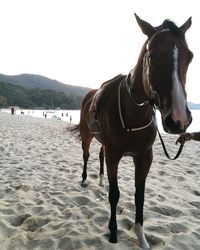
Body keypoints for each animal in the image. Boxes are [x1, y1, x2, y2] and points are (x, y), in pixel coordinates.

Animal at [71, 14, 193, 249]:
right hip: (87, 136)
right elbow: (115, 194)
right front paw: (113, 231)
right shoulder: (114, 155)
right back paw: (84, 179)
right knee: (87, 155)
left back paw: (100, 180)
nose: (178, 118)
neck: (134, 111)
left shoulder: (144, 157)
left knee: (99, 155)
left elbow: (140, 196)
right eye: (153, 56)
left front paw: (141, 235)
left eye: (190, 56)